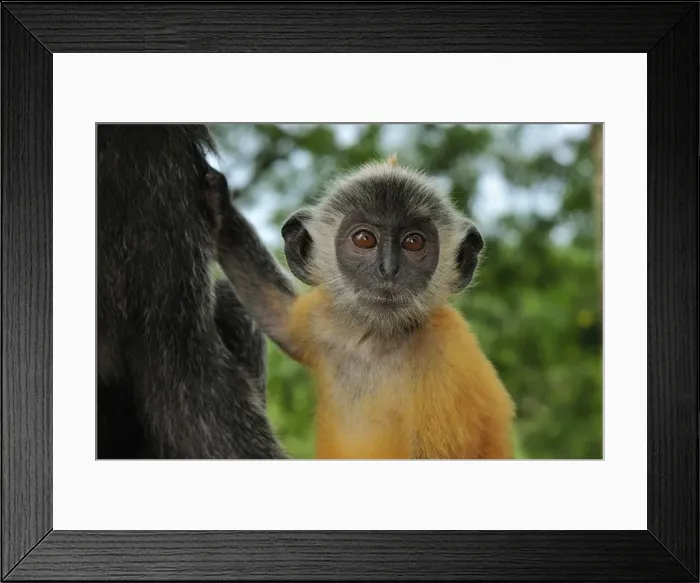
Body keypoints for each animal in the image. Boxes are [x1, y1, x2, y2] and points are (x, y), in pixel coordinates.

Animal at [215, 156, 516, 460]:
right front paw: (216, 197)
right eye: (364, 239)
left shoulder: (448, 358)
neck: (379, 344)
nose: (389, 270)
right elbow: (278, 316)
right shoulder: (324, 322)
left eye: (413, 242)